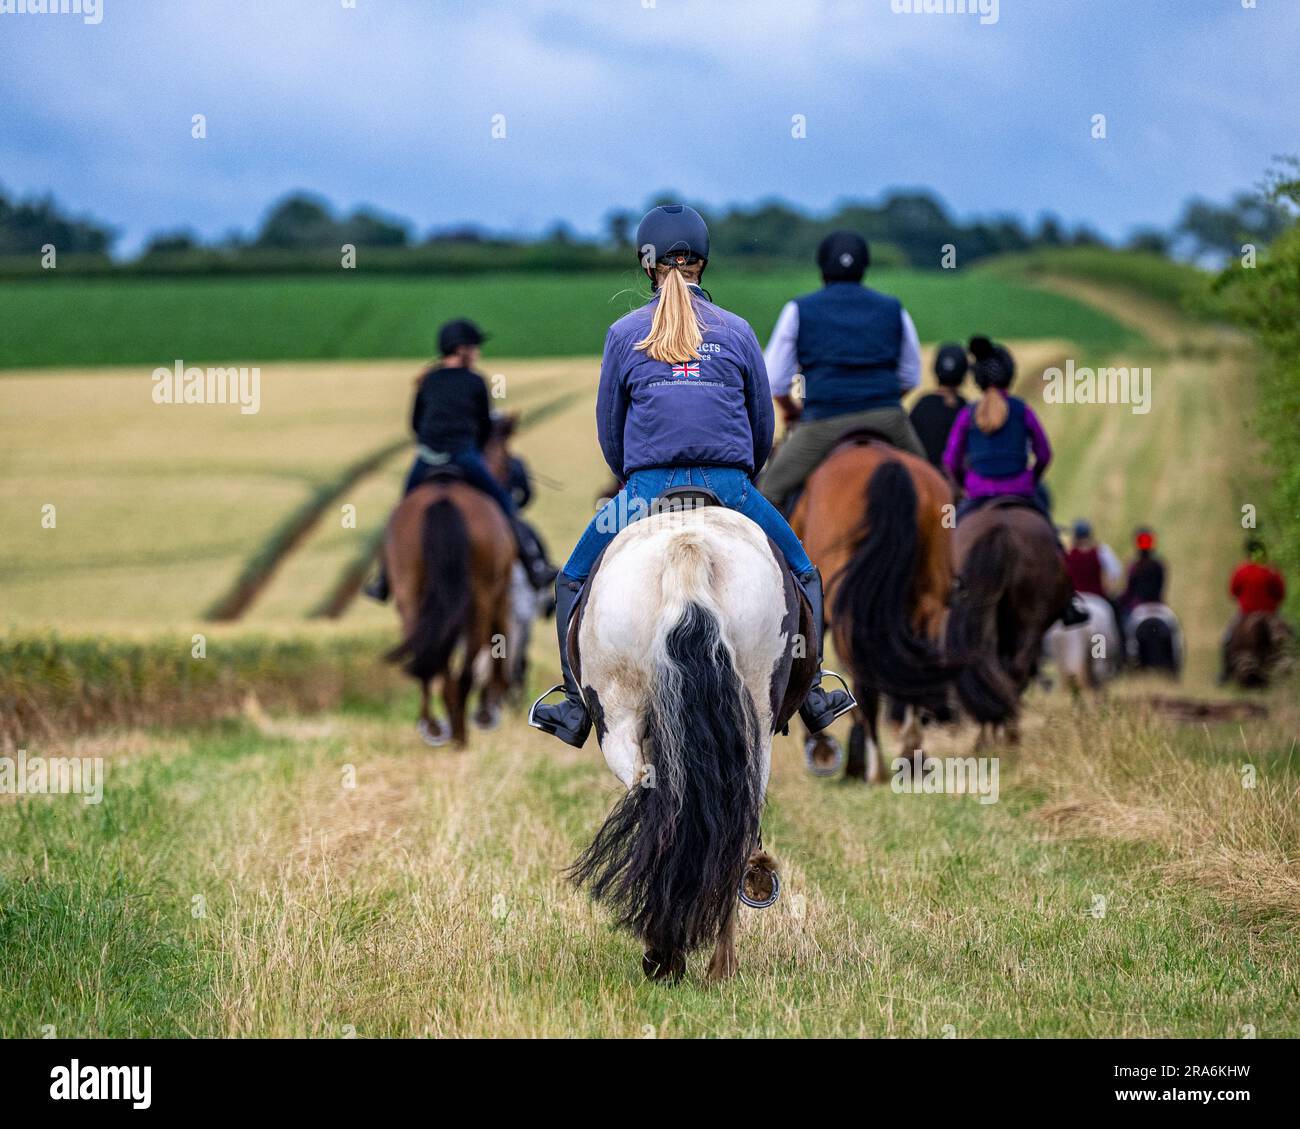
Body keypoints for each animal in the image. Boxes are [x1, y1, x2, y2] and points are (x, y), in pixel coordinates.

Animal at [379, 478, 512, 749]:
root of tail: (443, 496)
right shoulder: (502, 595)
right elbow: (499, 639)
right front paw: (489, 706)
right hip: (483, 600)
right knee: (467, 669)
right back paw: (460, 730)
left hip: (410, 597)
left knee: (430, 661)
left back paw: (435, 726)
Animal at [569, 499, 811, 983]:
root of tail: (688, 548)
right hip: (752, 732)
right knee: (731, 828)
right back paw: (713, 965)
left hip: (619, 725)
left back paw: (672, 957)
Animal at [790, 442, 1013, 785]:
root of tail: (887, 465)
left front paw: (825, 748)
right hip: (929, 603)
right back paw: (911, 756)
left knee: (866, 681)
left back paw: (873, 767)